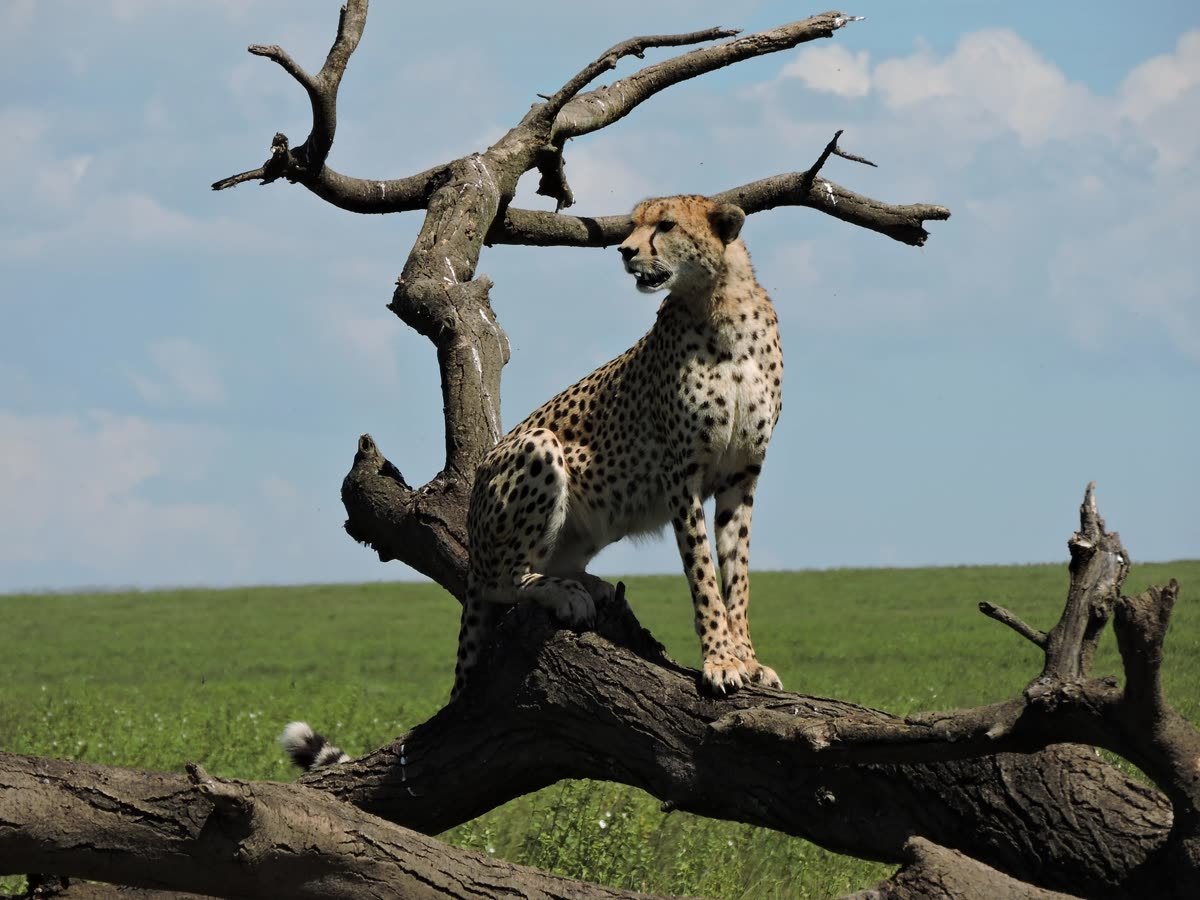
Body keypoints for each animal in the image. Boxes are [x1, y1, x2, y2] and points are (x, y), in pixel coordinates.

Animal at [453, 193, 784, 701]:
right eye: (632, 225)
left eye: (666, 225)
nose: (625, 251)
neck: (721, 306)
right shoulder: (680, 474)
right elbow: (703, 572)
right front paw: (720, 660)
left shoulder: (741, 474)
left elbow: (736, 573)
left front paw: (747, 659)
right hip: (538, 446)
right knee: (501, 582)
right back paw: (564, 592)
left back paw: (592, 585)